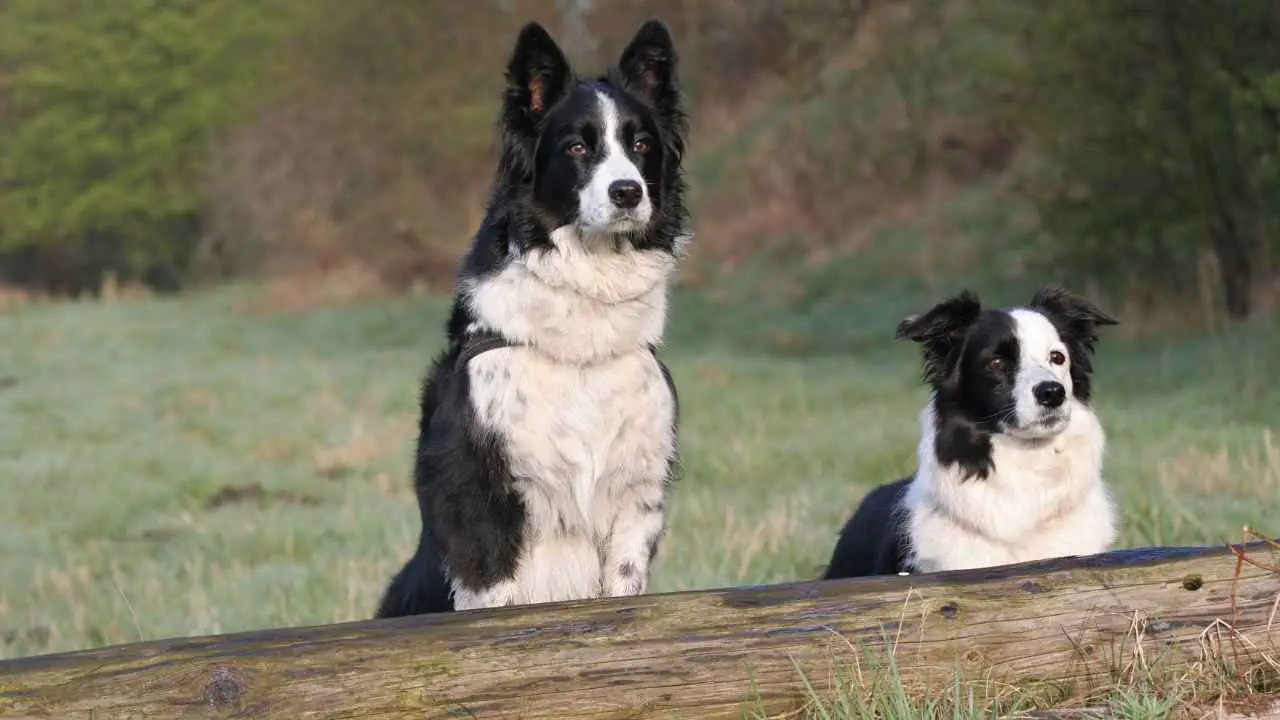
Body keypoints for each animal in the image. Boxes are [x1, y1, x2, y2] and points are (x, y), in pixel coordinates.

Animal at [373, 19, 691, 614]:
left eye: (641, 145)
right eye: (577, 146)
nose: (628, 192)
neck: (582, 347)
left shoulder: (636, 494)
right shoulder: (476, 497)